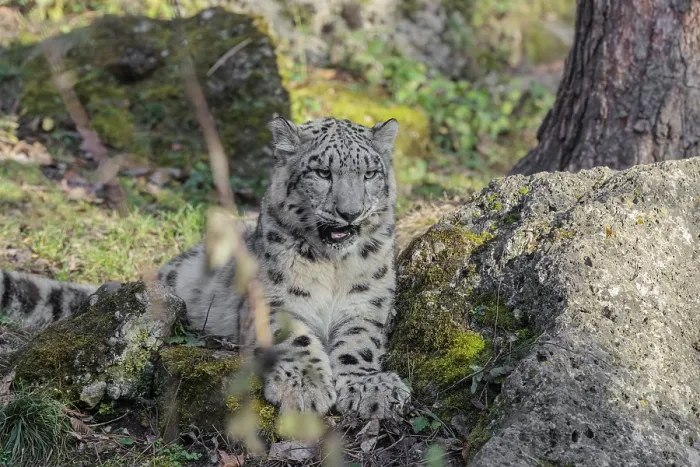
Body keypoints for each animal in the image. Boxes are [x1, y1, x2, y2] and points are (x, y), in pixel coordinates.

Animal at [0, 116, 411, 420]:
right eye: (323, 173)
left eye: (369, 174)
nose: (350, 212)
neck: (333, 266)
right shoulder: (274, 301)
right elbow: (293, 338)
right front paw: (304, 386)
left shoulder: (367, 305)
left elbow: (359, 343)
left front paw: (370, 388)